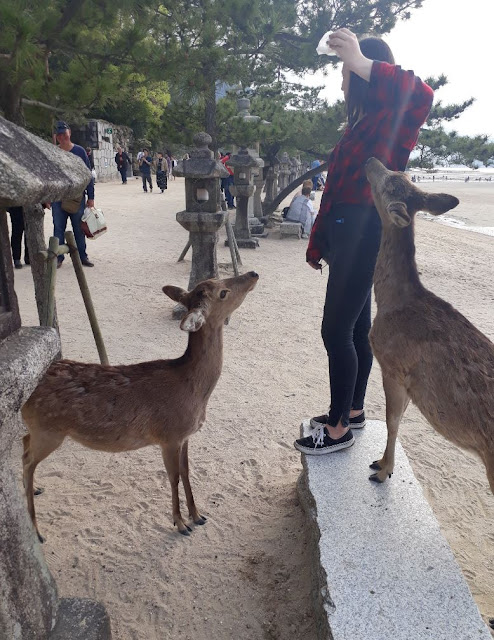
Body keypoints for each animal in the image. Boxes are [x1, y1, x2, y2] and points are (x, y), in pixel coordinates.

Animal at [20, 270, 258, 540]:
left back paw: (35, 488)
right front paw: (180, 523)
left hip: (40, 430)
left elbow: (187, 472)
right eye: (223, 292)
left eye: (218, 280)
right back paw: (36, 530)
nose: (253, 273)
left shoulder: (186, 436)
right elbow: (173, 477)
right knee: (27, 461)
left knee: (24, 444)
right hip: (49, 429)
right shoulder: (169, 435)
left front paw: (198, 516)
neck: (194, 393)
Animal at [362, 158, 494, 492]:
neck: (393, 302)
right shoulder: (411, 382)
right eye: (401, 175)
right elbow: (399, 418)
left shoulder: (393, 365)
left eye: (391, 182)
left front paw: (382, 470)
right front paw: (383, 464)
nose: (371, 160)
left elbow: (392, 420)